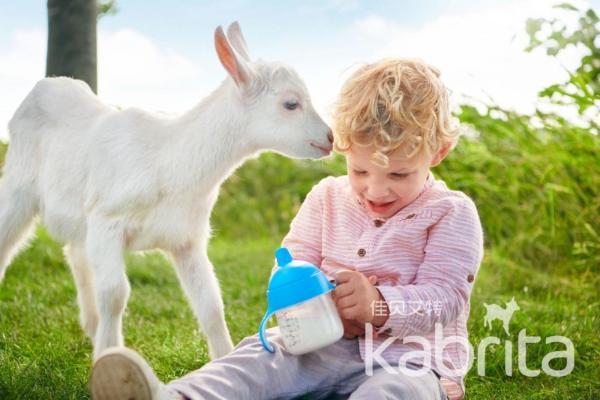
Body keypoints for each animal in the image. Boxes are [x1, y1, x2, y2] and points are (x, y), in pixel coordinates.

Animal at [0, 21, 332, 360]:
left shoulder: (186, 238)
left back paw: (91, 327)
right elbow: (115, 294)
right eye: (291, 104)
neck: (169, 160)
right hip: (18, 187)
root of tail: (48, 84)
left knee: (77, 254)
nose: (329, 137)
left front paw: (223, 358)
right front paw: (109, 356)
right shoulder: (107, 220)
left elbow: (210, 303)